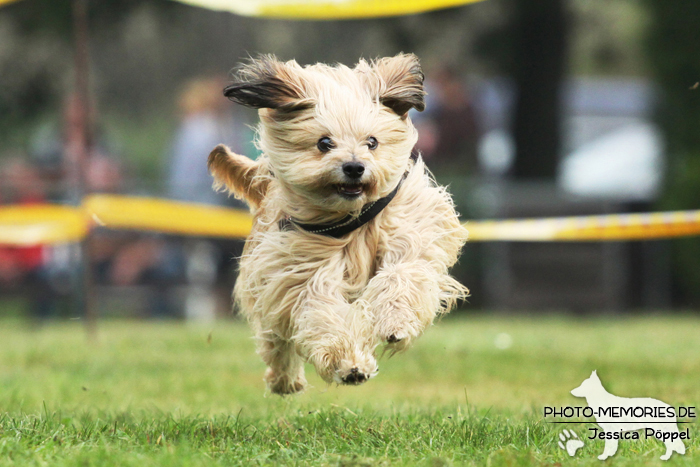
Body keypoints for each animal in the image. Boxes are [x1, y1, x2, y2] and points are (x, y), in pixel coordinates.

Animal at [208, 53, 470, 394]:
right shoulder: (303, 271)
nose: (355, 167)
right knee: (276, 340)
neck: (352, 221)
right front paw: (348, 364)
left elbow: (401, 276)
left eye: (372, 142)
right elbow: (322, 311)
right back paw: (284, 380)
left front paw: (395, 322)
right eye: (324, 143)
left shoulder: (409, 237)